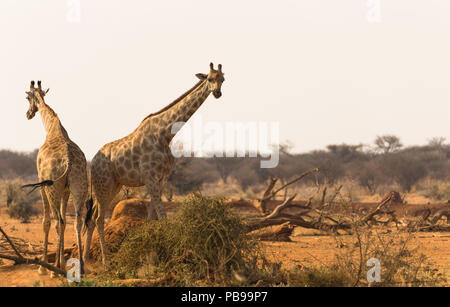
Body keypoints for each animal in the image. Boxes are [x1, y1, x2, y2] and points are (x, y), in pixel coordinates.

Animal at [22, 80, 88, 276]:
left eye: (27, 98)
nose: (28, 114)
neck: (52, 128)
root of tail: (69, 160)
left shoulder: (42, 183)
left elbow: (46, 222)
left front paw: (43, 267)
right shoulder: (66, 190)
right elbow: (66, 222)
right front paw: (62, 263)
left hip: (52, 188)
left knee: (57, 220)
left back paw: (54, 269)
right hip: (79, 186)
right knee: (77, 221)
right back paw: (81, 266)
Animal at [84, 62, 225, 264]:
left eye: (223, 79)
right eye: (210, 78)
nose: (217, 93)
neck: (165, 134)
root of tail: (93, 161)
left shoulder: (161, 178)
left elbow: (152, 218)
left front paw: (147, 253)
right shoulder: (150, 177)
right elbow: (163, 216)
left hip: (113, 185)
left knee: (93, 217)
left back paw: (85, 259)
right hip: (103, 184)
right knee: (98, 218)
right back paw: (105, 261)